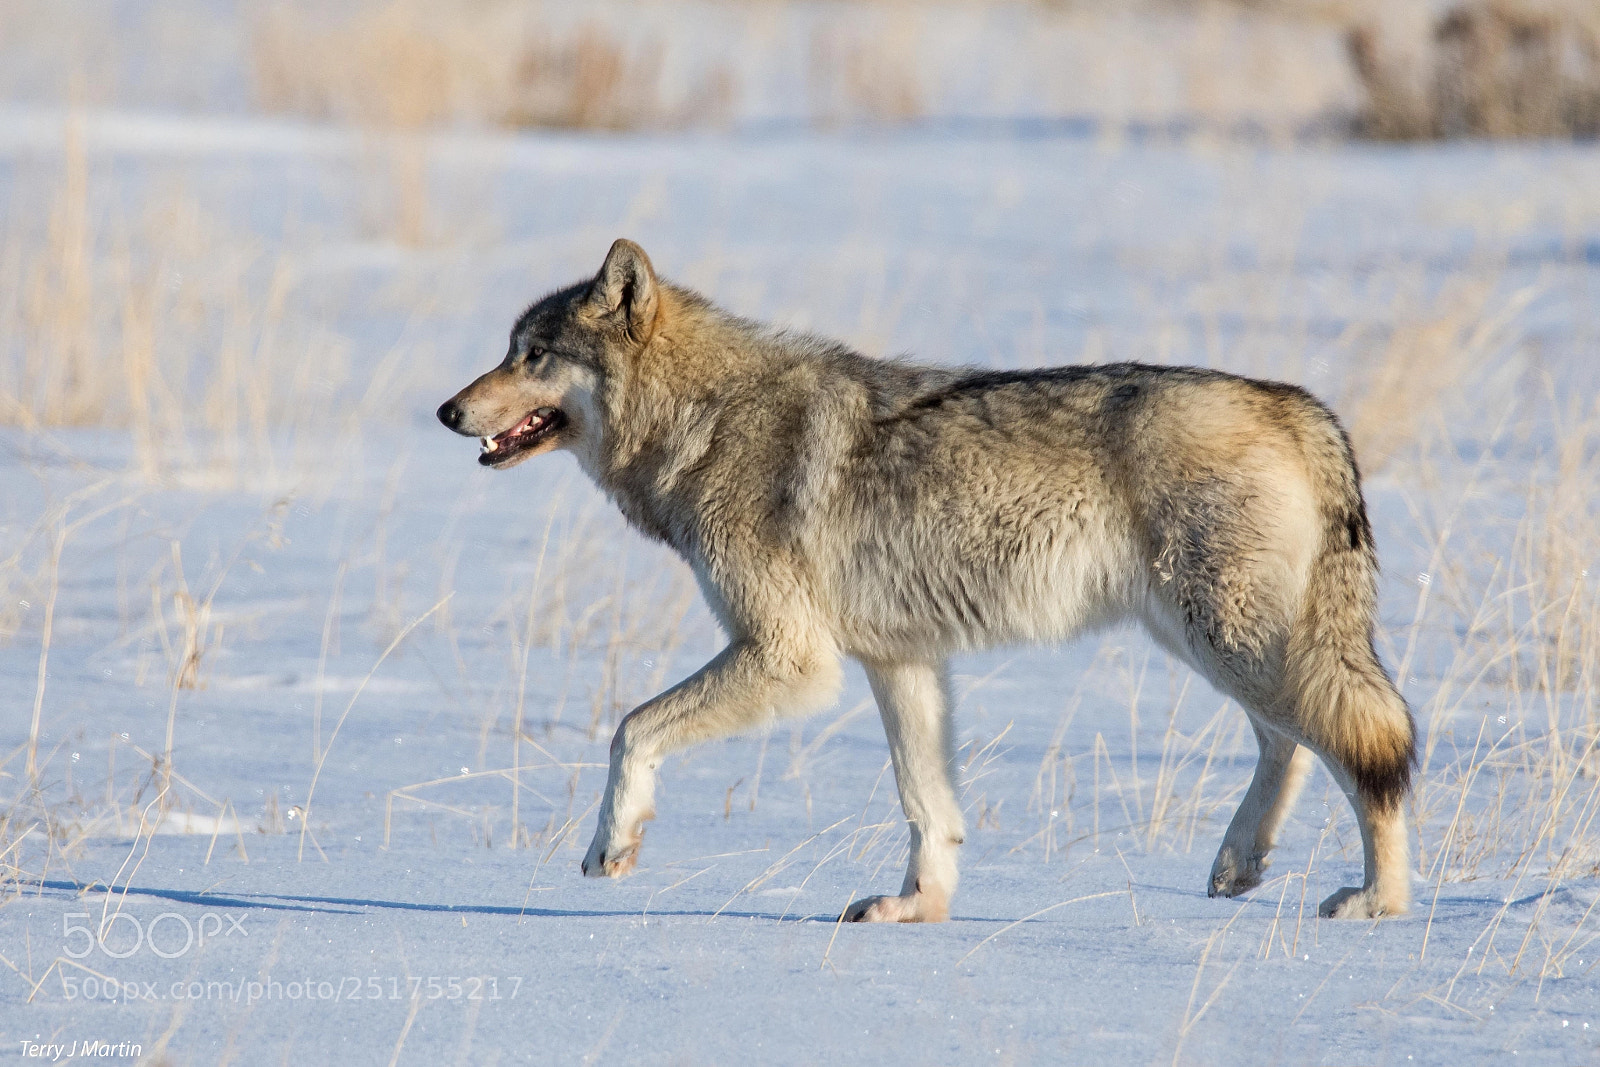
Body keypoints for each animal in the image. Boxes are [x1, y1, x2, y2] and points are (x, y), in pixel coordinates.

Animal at [438, 239, 1417, 922]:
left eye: (532, 355)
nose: (446, 410)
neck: (703, 419)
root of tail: (1299, 404)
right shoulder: (900, 660)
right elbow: (927, 806)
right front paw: (918, 907)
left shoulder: (791, 658)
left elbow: (629, 730)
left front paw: (612, 844)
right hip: (1213, 642)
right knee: (1292, 741)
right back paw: (1239, 862)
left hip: (1224, 639)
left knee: (1360, 749)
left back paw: (1378, 903)